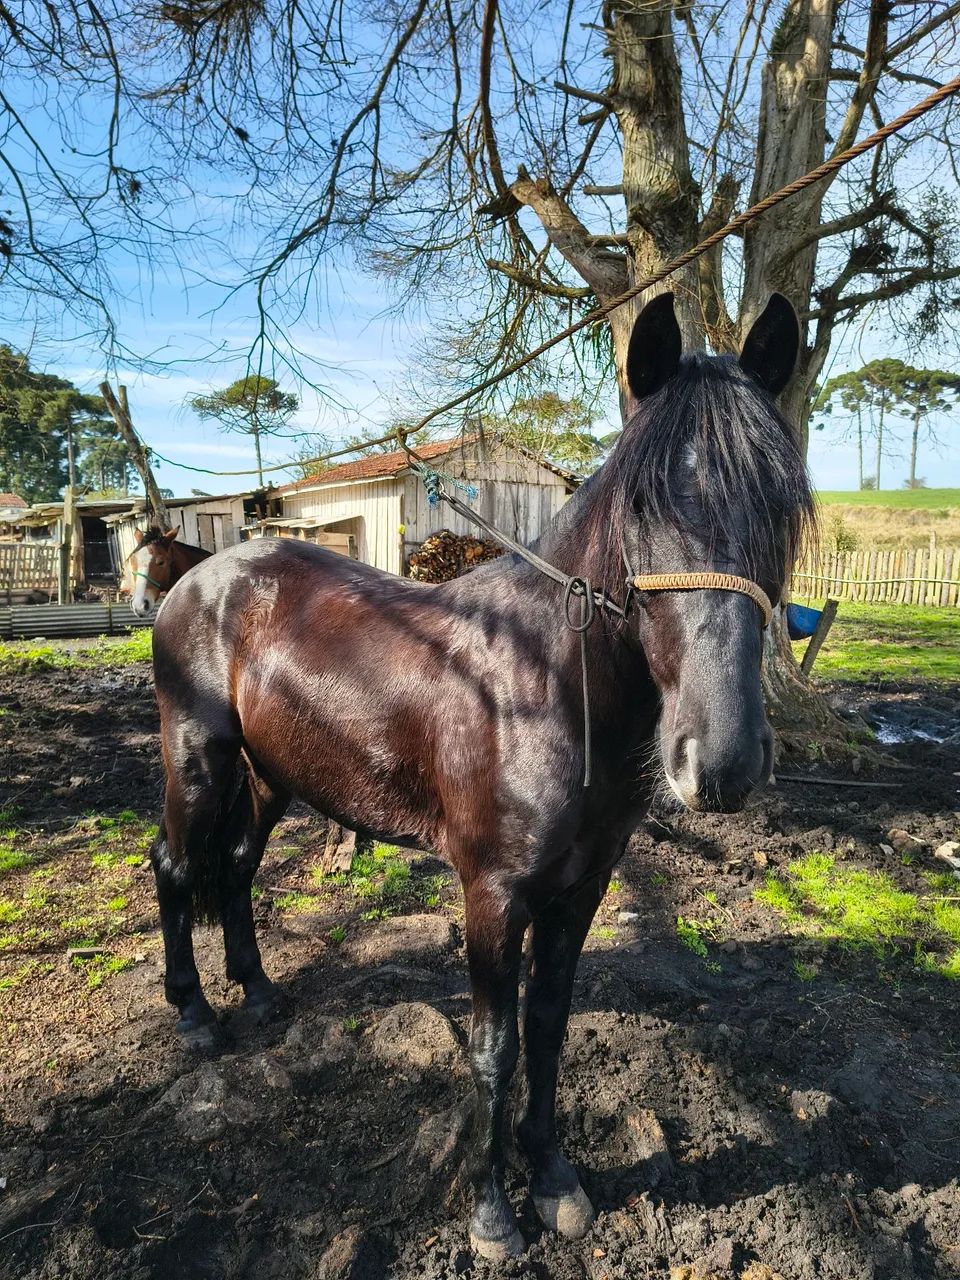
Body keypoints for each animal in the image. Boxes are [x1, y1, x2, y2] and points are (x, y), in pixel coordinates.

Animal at [147, 292, 813, 1261]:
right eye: (642, 504)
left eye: (783, 502)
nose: (721, 763)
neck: (542, 684)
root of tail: (204, 574)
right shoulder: (493, 894)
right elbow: (493, 1046)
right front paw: (493, 1213)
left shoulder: (582, 888)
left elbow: (548, 1027)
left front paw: (555, 1177)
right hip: (197, 758)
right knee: (174, 867)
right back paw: (195, 1015)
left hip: (273, 776)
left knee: (234, 868)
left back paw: (262, 998)